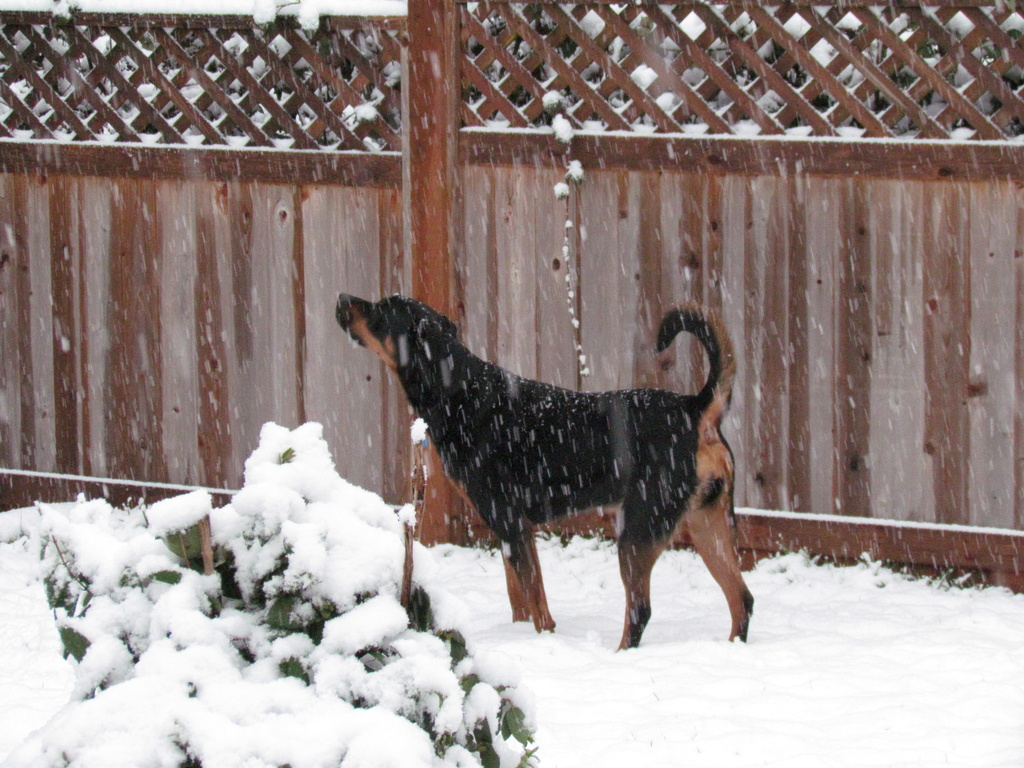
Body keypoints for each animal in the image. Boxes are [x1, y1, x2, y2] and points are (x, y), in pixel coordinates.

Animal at [335, 294, 753, 651]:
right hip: (708, 525)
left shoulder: (508, 521)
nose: (341, 298)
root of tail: (694, 409)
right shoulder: (515, 529)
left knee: (641, 611)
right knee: (742, 600)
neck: (457, 390)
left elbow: (534, 604)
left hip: (638, 530)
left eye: (381, 310)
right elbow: (524, 600)